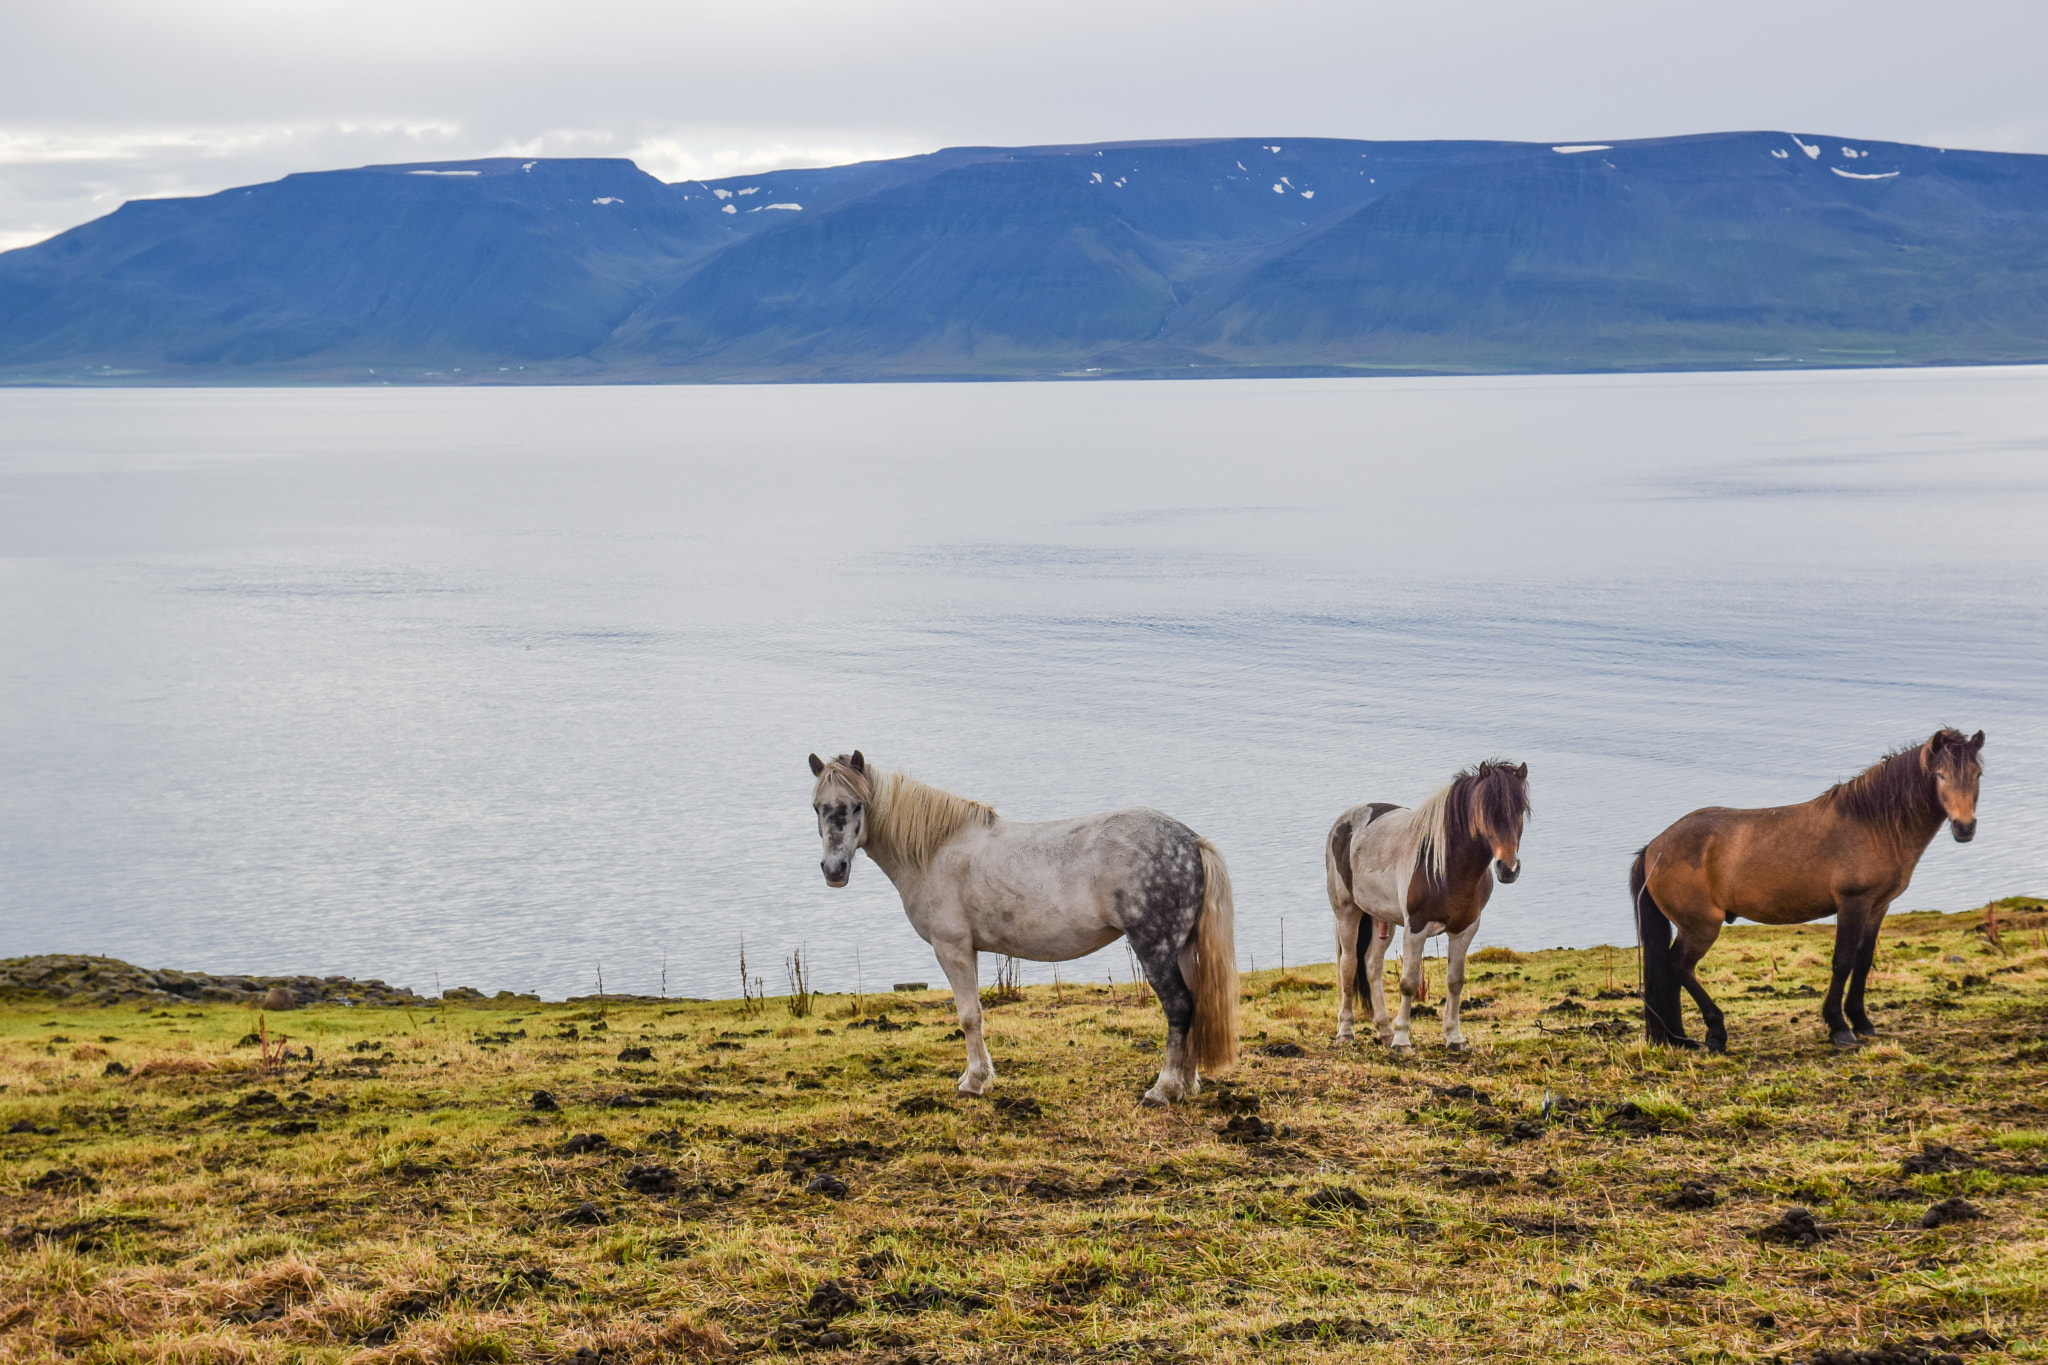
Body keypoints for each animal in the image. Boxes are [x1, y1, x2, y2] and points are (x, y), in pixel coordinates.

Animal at [811, 753, 1228, 1105]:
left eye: (857, 806)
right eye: (818, 807)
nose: (834, 870)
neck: (936, 851)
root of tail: (1191, 841)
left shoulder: (951, 947)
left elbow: (968, 1015)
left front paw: (973, 1082)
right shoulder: (970, 950)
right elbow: (974, 1013)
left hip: (1155, 947)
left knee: (1178, 1006)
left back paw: (1162, 1089)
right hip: (1181, 948)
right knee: (1193, 1003)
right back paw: (1185, 1084)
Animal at [1327, 765, 1540, 1055]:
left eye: (1520, 810)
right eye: (1484, 811)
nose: (1508, 869)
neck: (1449, 866)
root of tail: (1343, 823)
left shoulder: (1465, 929)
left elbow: (1455, 981)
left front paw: (1455, 1037)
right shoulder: (1415, 929)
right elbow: (1408, 983)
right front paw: (1402, 1041)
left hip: (1383, 919)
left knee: (1372, 965)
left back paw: (1384, 1030)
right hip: (1348, 913)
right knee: (1348, 967)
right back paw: (1346, 1032)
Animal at [1630, 732, 1982, 1055]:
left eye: (1977, 774)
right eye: (1941, 775)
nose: (1965, 827)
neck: (1872, 825)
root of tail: (1654, 848)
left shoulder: (1877, 906)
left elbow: (1863, 961)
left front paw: (1862, 1021)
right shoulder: (1853, 903)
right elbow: (1843, 960)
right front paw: (1839, 1027)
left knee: (1671, 972)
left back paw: (1679, 1038)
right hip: (1700, 927)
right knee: (1679, 966)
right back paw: (1715, 1033)